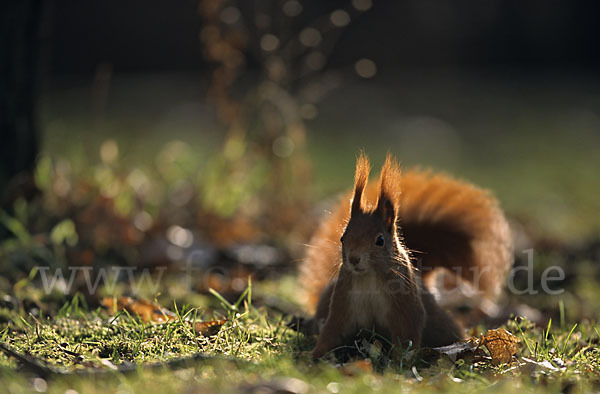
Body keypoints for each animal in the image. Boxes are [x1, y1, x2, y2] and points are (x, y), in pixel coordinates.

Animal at [302, 152, 512, 358]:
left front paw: (398, 361)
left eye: (380, 240)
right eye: (342, 238)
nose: (354, 259)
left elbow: (406, 335)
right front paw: (314, 355)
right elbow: (332, 330)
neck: (369, 277)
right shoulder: (343, 303)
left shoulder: (404, 307)